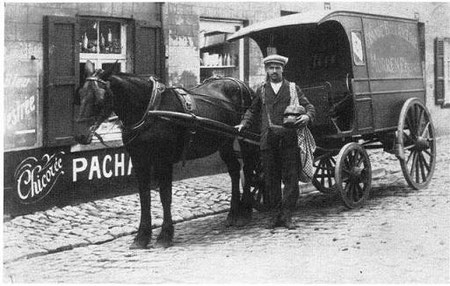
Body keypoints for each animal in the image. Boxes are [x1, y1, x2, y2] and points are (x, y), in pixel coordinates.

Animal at [75, 62, 258, 248]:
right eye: (81, 94)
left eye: (100, 98)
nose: (80, 135)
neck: (150, 109)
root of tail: (241, 84)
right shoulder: (139, 161)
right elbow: (144, 197)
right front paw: (142, 236)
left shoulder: (163, 161)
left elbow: (165, 196)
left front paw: (165, 235)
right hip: (224, 142)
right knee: (234, 170)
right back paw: (233, 213)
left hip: (246, 139)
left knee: (248, 169)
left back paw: (245, 211)